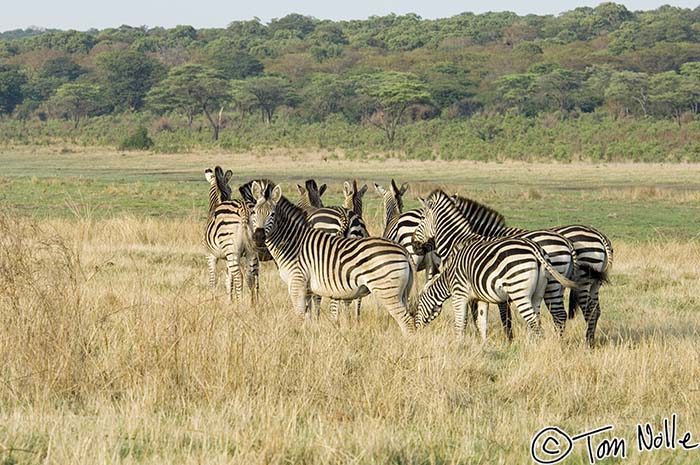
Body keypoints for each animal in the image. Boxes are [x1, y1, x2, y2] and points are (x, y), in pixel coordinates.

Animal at [205, 167, 260, 304]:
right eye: (230, 189)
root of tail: (244, 208)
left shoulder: (210, 255)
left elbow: (213, 279)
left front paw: (213, 301)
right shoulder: (227, 258)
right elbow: (228, 280)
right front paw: (229, 301)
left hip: (231, 248)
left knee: (239, 276)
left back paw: (241, 304)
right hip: (251, 250)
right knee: (250, 275)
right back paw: (252, 304)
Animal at [250, 181, 416, 334]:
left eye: (272, 214)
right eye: (253, 212)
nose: (258, 237)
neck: (293, 242)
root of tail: (402, 250)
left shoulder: (297, 282)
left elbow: (299, 315)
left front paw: (297, 336)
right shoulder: (307, 288)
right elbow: (307, 314)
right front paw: (309, 333)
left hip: (387, 291)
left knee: (406, 321)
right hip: (401, 293)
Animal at [412, 190, 584, 338]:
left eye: (421, 219)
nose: (414, 245)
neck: (459, 239)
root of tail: (566, 242)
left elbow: (478, 315)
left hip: (552, 284)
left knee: (559, 315)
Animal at [452, 195, 608, 344]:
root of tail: (601, 236)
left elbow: (500, 314)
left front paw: (507, 338)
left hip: (571, 282)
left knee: (579, 312)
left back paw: (579, 342)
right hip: (594, 283)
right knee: (595, 311)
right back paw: (589, 341)